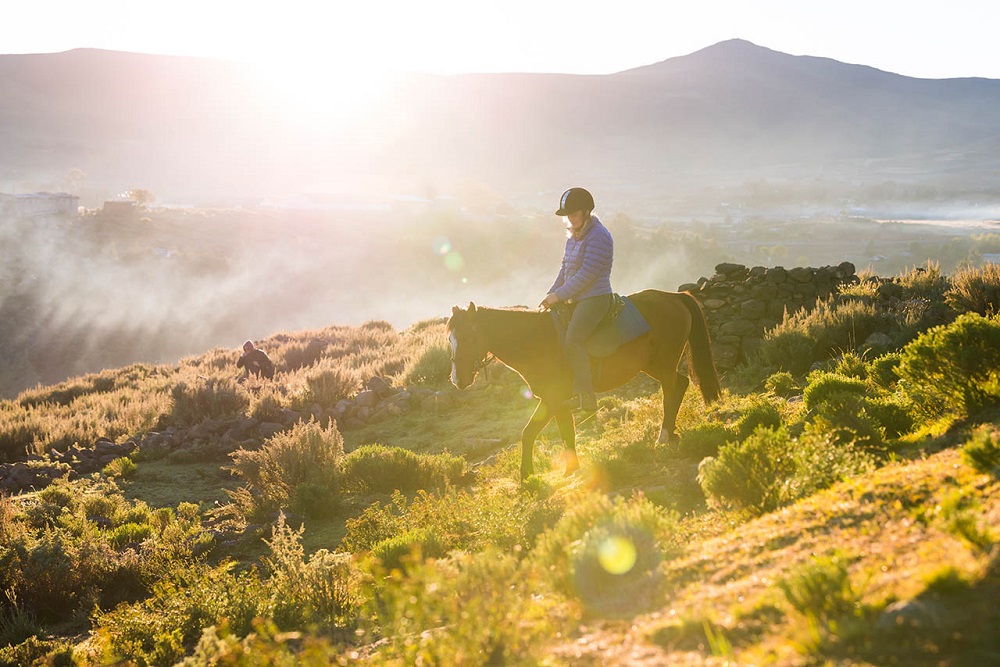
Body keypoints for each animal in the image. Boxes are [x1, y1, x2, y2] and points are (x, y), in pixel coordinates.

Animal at [450, 290, 724, 478]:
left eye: (466, 336)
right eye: (450, 338)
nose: (457, 379)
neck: (535, 341)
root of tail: (676, 297)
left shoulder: (554, 398)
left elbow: (554, 432)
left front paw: (563, 470)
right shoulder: (552, 400)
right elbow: (539, 433)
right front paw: (533, 474)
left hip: (664, 364)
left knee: (672, 391)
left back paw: (664, 436)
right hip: (655, 366)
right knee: (681, 384)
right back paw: (671, 434)